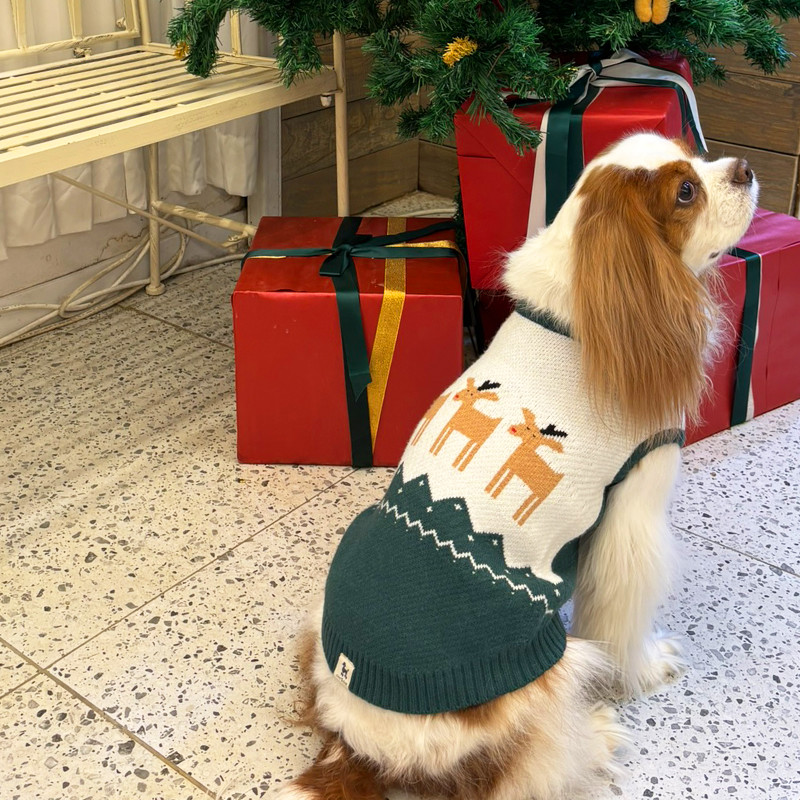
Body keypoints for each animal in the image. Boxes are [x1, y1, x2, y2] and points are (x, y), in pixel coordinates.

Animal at [278, 133, 758, 800]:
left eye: (696, 152)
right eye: (685, 190)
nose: (746, 169)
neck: (577, 317)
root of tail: (354, 745)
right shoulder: (632, 515)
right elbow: (624, 615)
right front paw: (645, 670)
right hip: (547, 674)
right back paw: (595, 735)